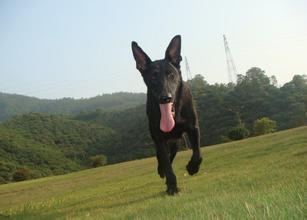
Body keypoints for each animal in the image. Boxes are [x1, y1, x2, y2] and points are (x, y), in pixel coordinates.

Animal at [132, 34, 202, 194]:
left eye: (171, 75)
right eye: (153, 77)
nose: (165, 98)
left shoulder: (193, 127)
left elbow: (197, 153)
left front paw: (192, 167)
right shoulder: (159, 139)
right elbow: (167, 165)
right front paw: (172, 187)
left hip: (175, 143)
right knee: (163, 160)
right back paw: (161, 172)